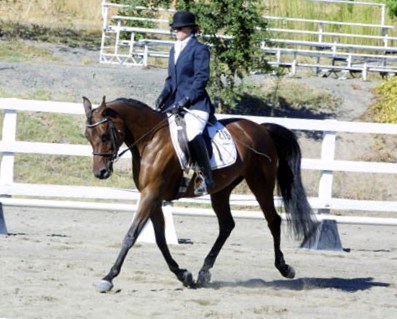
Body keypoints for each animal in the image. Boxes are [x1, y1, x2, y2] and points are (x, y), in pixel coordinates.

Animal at [83, 96, 316, 294]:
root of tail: (261, 128)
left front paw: (108, 277)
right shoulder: (154, 196)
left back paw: (284, 268)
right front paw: (183, 275)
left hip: (261, 184)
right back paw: (204, 272)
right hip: (222, 190)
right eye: (87, 136)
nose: (100, 172)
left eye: (104, 135)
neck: (150, 141)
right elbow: (160, 240)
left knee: (273, 220)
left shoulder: (151, 194)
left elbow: (131, 235)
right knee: (227, 225)